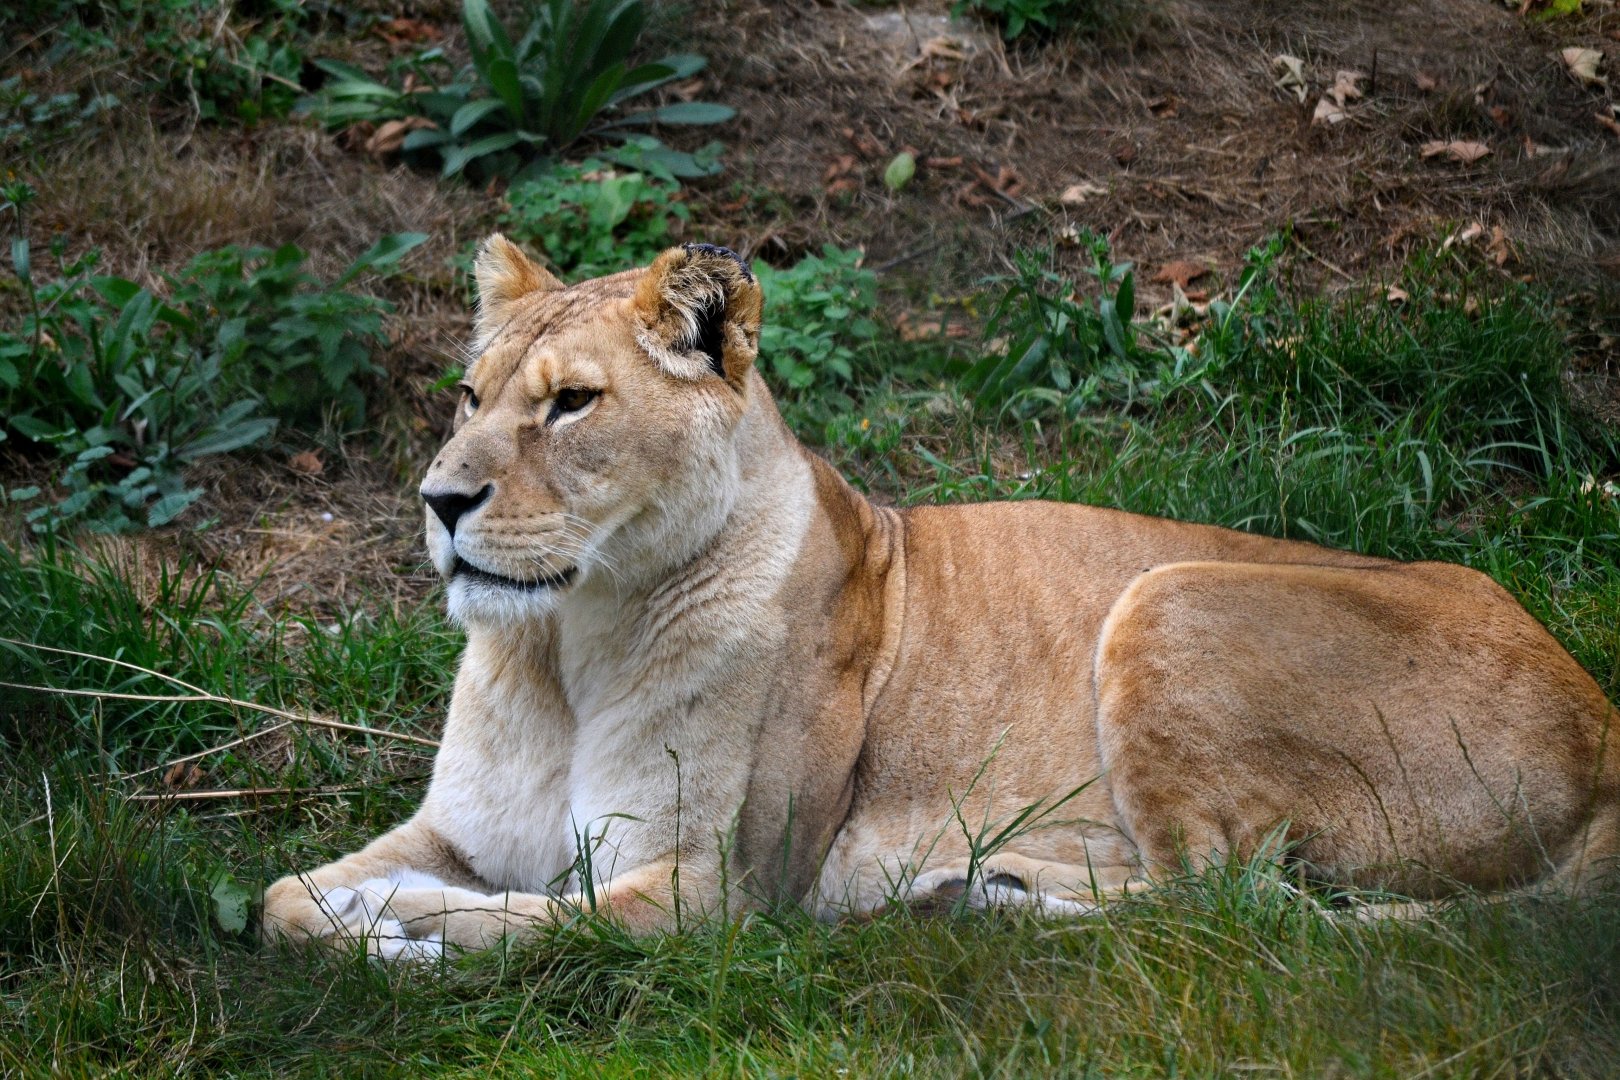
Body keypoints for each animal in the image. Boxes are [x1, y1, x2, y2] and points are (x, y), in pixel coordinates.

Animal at [262, 237, 1619, 958]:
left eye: (572, 403)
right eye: (469, 394)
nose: (439, 500)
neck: (564, 642)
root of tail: (1601, 714)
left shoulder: (718, 891)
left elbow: (530, 922)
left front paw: (404, 930)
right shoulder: (468, 831)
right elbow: (283, 899)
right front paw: (362, 912)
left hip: (1171, 592)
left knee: (1228, 909)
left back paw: (978, 902)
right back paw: (986, 891)